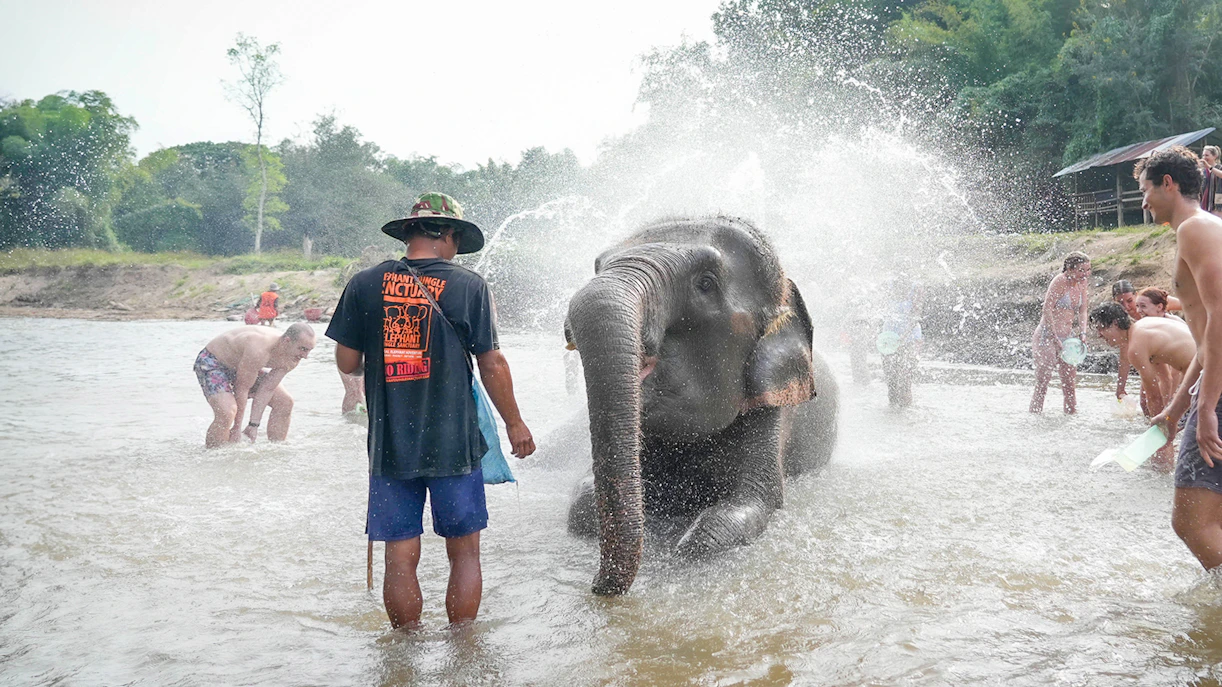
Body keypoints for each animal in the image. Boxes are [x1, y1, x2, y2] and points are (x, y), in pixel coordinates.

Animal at [564, 215, 839, 595]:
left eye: (706, 283)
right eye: (597, 265)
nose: (596, 586)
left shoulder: (776, 407)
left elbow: (752, 503)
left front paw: (687, 543)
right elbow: (581, 506)